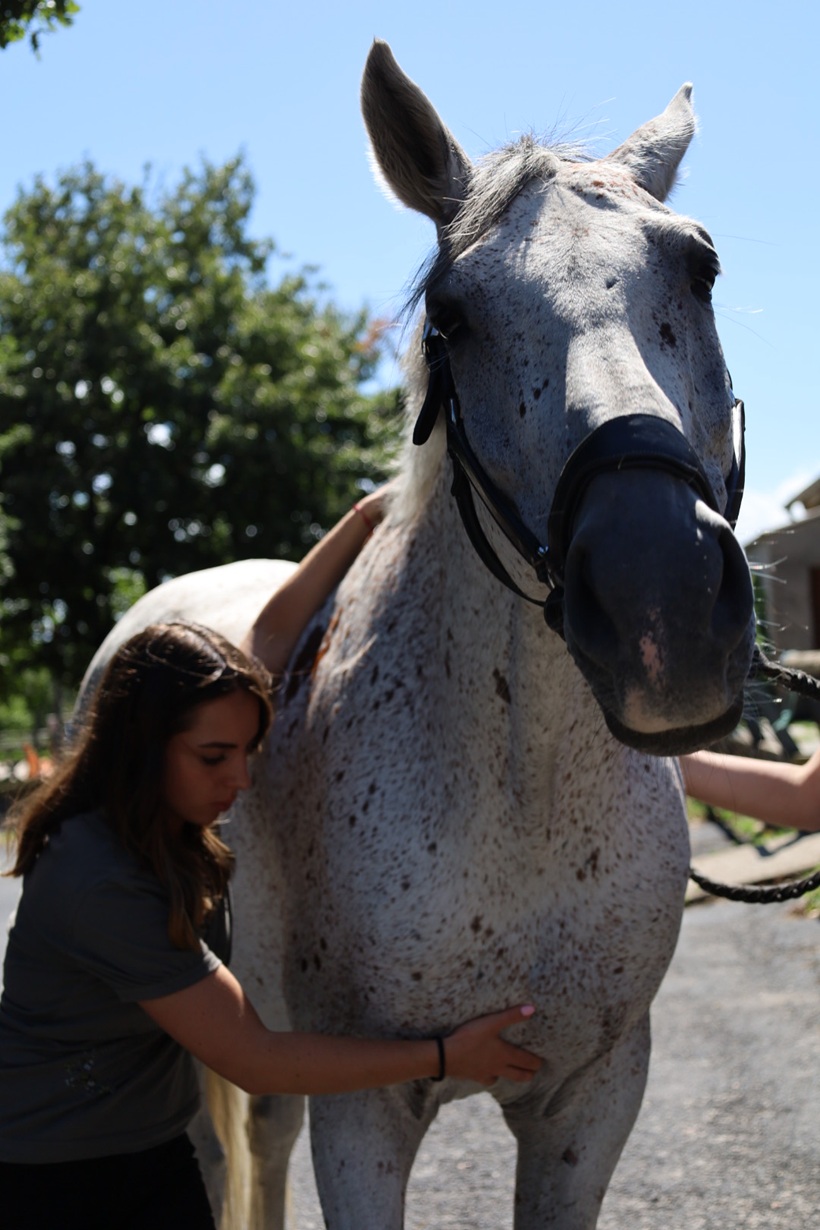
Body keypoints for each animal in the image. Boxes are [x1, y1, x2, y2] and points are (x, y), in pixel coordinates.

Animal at [80, 40, 755, 1230]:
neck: (521, 801)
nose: (659, 603)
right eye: (455, 312)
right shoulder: (365, 1115)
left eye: (699, 268)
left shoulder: (591, 1104)